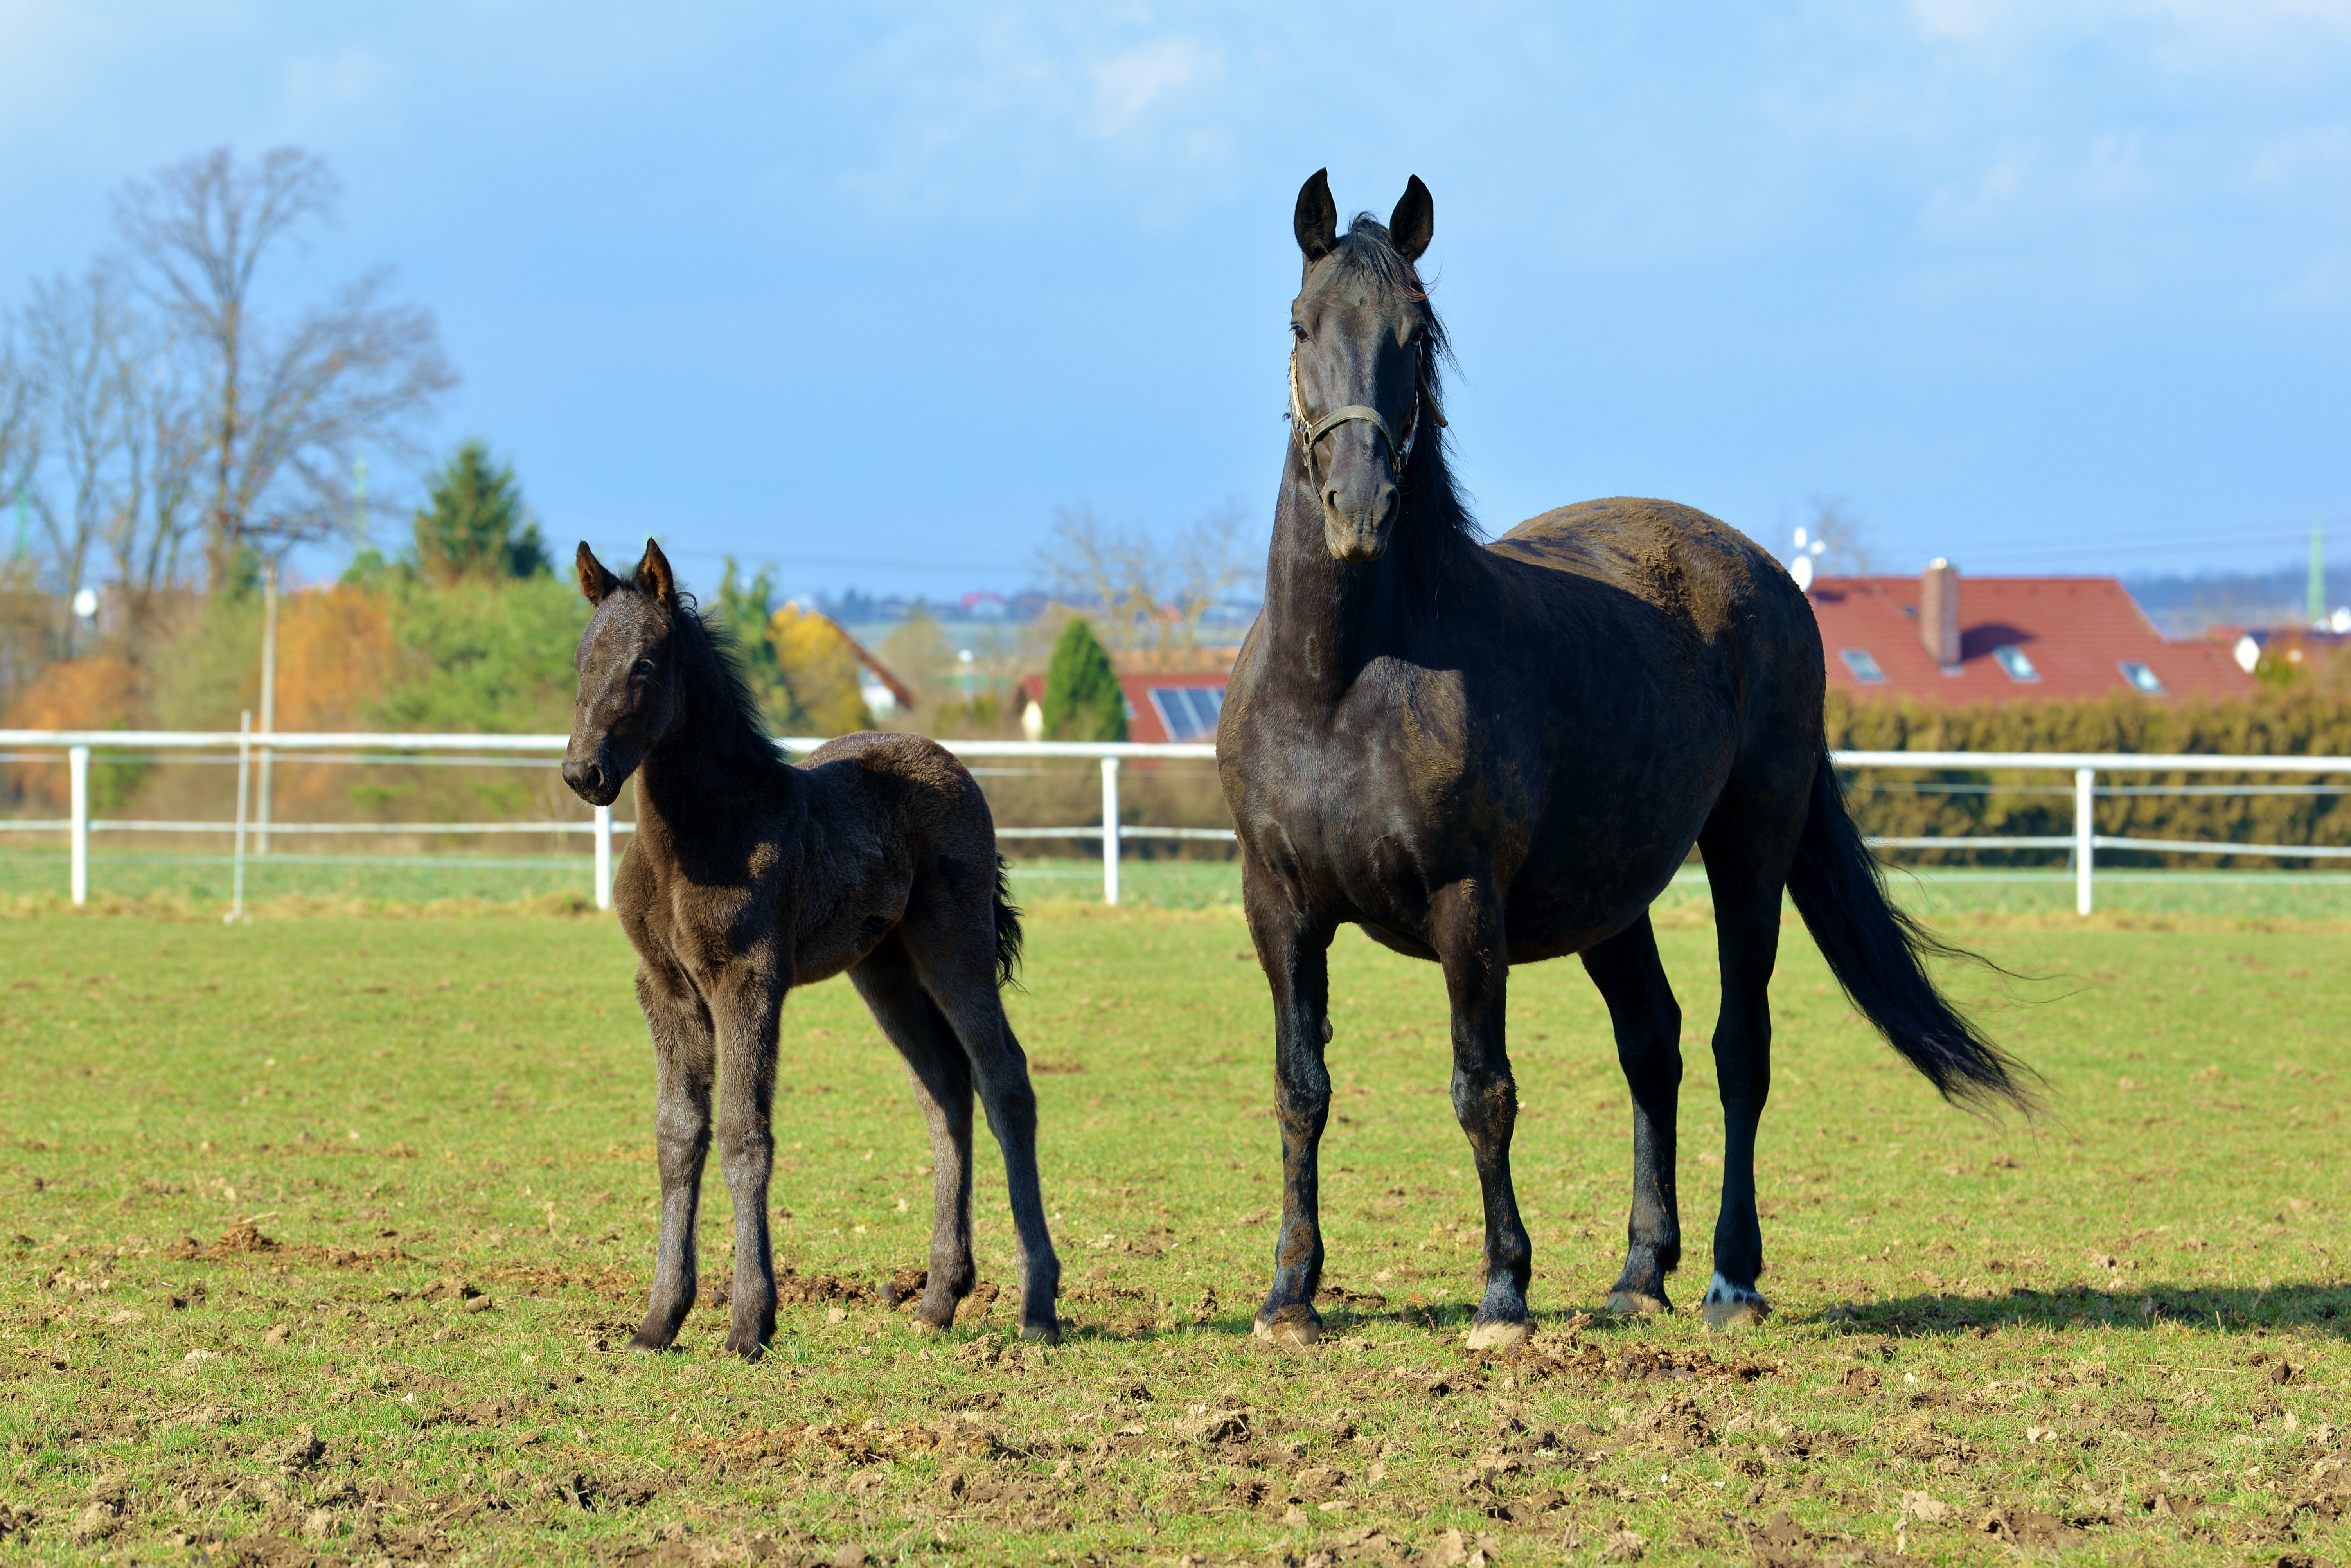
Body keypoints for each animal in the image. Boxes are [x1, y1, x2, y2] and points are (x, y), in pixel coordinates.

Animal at [1222, 169, 2031, 1354]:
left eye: (1416, 335)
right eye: (1299, 325)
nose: (1358, 507)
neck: (1342, 681)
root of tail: (1768, 577)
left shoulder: (1469, 905)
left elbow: (1483, 1089)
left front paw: (1503, 1294)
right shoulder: (1278, 905)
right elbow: (1299, 1087)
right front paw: (1288, 1294)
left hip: (1749, 847)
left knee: (1740, 1048)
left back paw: (1730, 1278)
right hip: (1610, 898)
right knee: (1653, 1045)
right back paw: (1641, 1271)